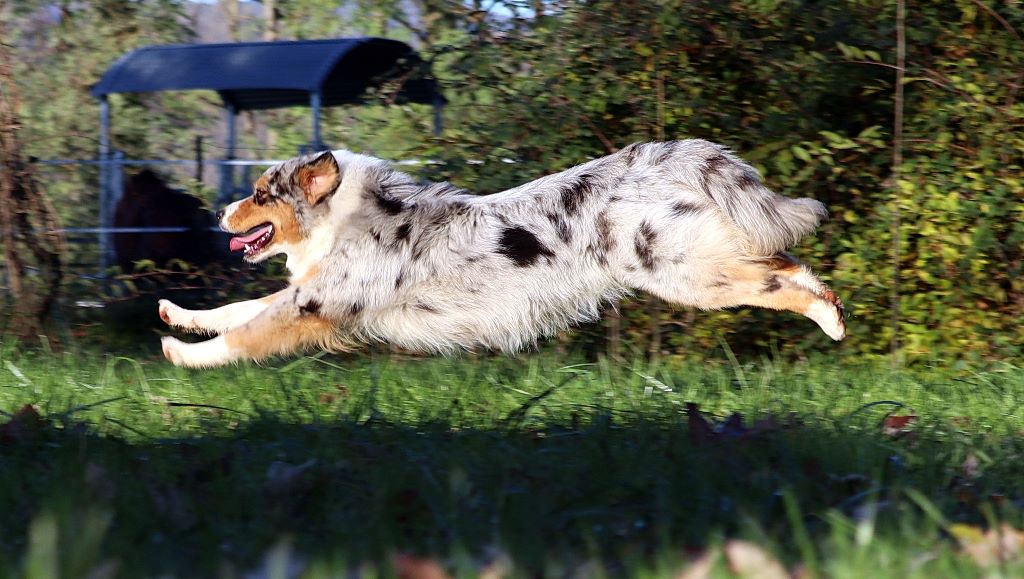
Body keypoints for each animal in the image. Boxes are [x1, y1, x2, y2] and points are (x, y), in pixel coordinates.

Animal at [159, 140, 843, 364]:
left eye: (257, 194)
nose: (217, 213)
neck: (345, 217)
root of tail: (658, 157)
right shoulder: (310, 295)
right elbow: (238, 309)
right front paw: (177, 315)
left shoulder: (315, 306)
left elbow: (245, 333)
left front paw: (181, 355)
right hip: (705, 264)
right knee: (785, 263)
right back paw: (832, 310)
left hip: (689, 275)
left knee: (778, 281)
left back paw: (830, 316)